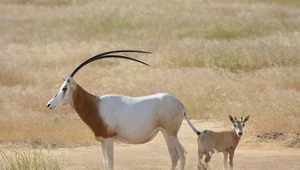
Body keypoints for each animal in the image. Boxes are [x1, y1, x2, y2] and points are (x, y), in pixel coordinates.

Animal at [46, 50, 186, 170]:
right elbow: (104, 162)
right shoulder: (102, 140)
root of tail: (179, 103)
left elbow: (110, 163)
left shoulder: (109, 138)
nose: (49, 104)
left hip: (169, 133)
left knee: (175, 156)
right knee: (182, 153)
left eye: (64, 88)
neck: (96, 105)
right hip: (171, 134)